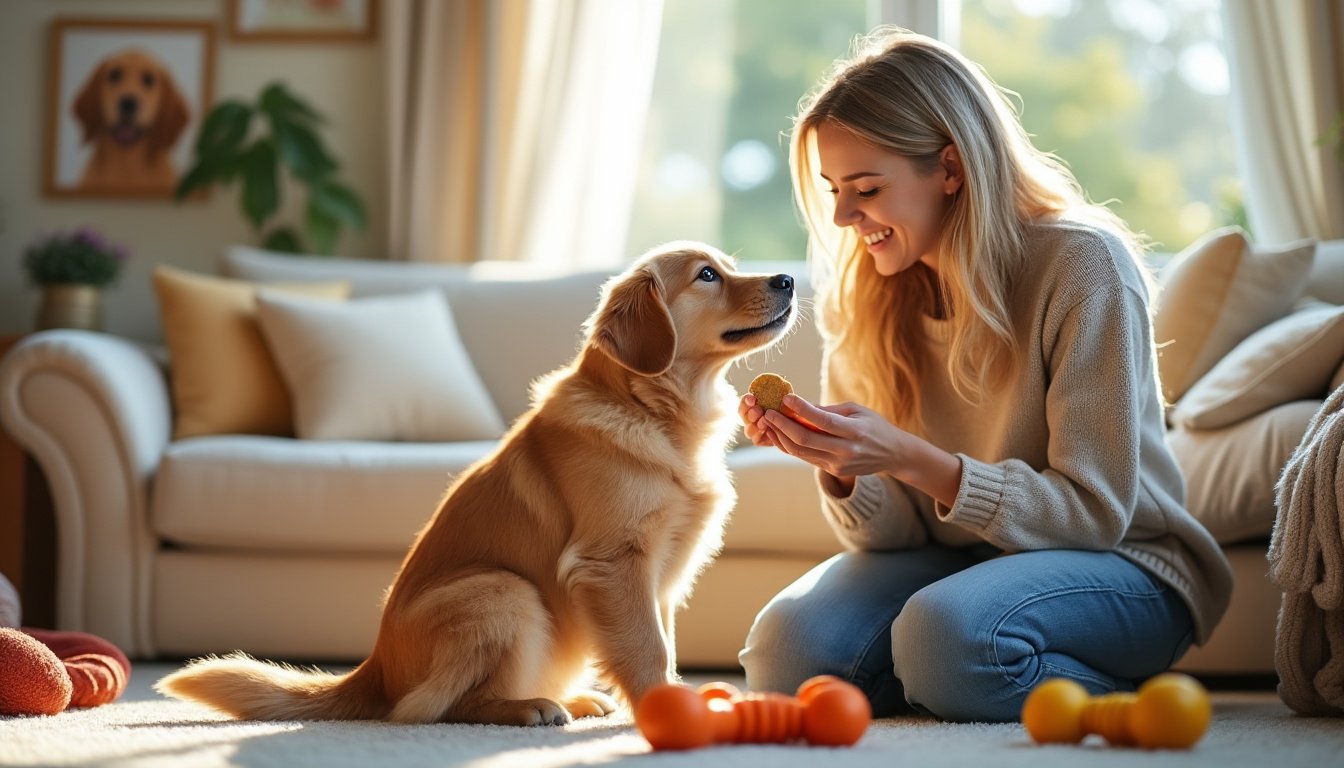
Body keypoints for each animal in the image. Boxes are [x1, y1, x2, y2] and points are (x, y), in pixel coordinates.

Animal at [154, 242, 795, 726]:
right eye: (707, 275)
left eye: (728, 265)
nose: (788, 277)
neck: (654, 413)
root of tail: (373, 670)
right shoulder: (614, 561)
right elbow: (647, 648)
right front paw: (668, 708)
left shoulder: (660, 576)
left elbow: (662, 641)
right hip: (505, 591)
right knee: (432, 709)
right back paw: (530, 707)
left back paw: (571, 698)